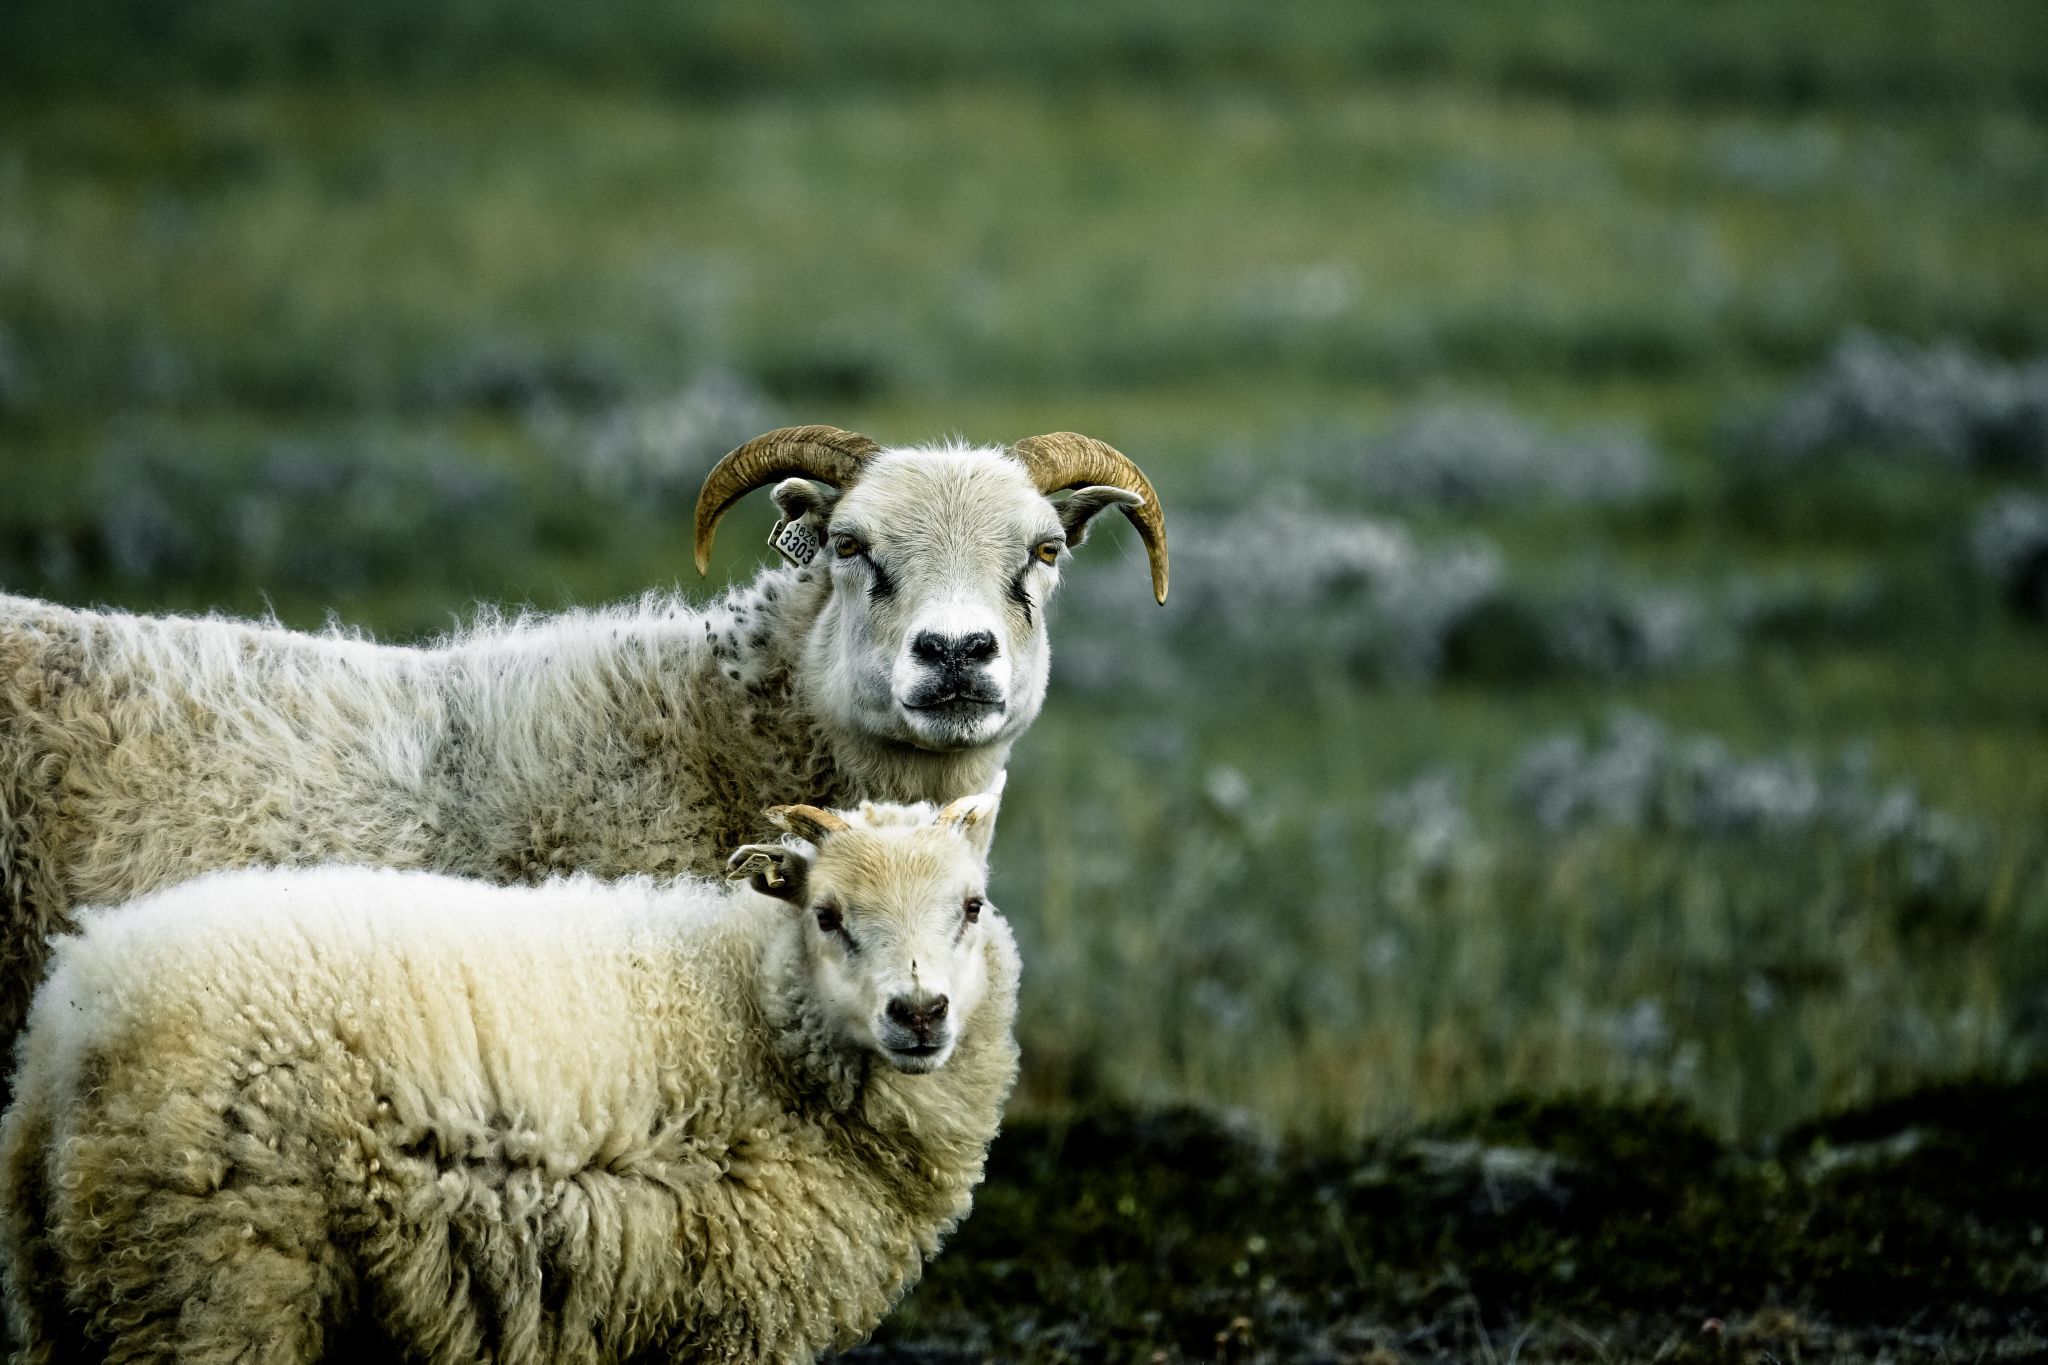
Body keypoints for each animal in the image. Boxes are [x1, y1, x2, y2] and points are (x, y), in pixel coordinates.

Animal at [0, 786, 1018, 1365]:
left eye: (971, 906)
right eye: (829, 914)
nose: (919, 1012)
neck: (752, 1012)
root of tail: (72, 1019)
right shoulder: (740, 1320)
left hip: (76, 1293)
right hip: (219, 1279)